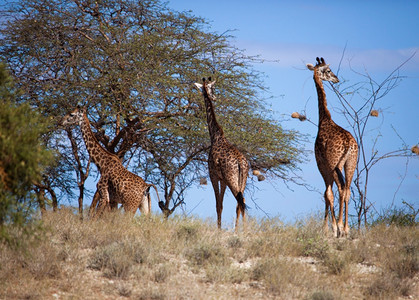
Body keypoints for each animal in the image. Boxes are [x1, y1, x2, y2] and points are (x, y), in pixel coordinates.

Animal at [196, 78, 251, 230]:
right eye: (212, 88)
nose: (214, 97)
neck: (215, 136)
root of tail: (240, 162)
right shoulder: (223, 180)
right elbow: (221, 204)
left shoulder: (213, 176)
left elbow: (218, 205)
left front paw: (219, 229)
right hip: (242, 179)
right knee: (241, 201)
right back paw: (240, 229)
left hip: (232, 178)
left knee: (240, 201)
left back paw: (242, 230)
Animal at [306, 57, 360, 238]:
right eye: (328, 70)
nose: (336, 79)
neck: (324, 119)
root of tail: (349, 144)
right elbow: (328, 193)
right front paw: (331, 227)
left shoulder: (322, 163)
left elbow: (327, 194)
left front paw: (329, 228)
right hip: (351, 163)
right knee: (348, 190)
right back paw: (347, 228)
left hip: (335, 164)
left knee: (341, 189)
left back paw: (341, 228)